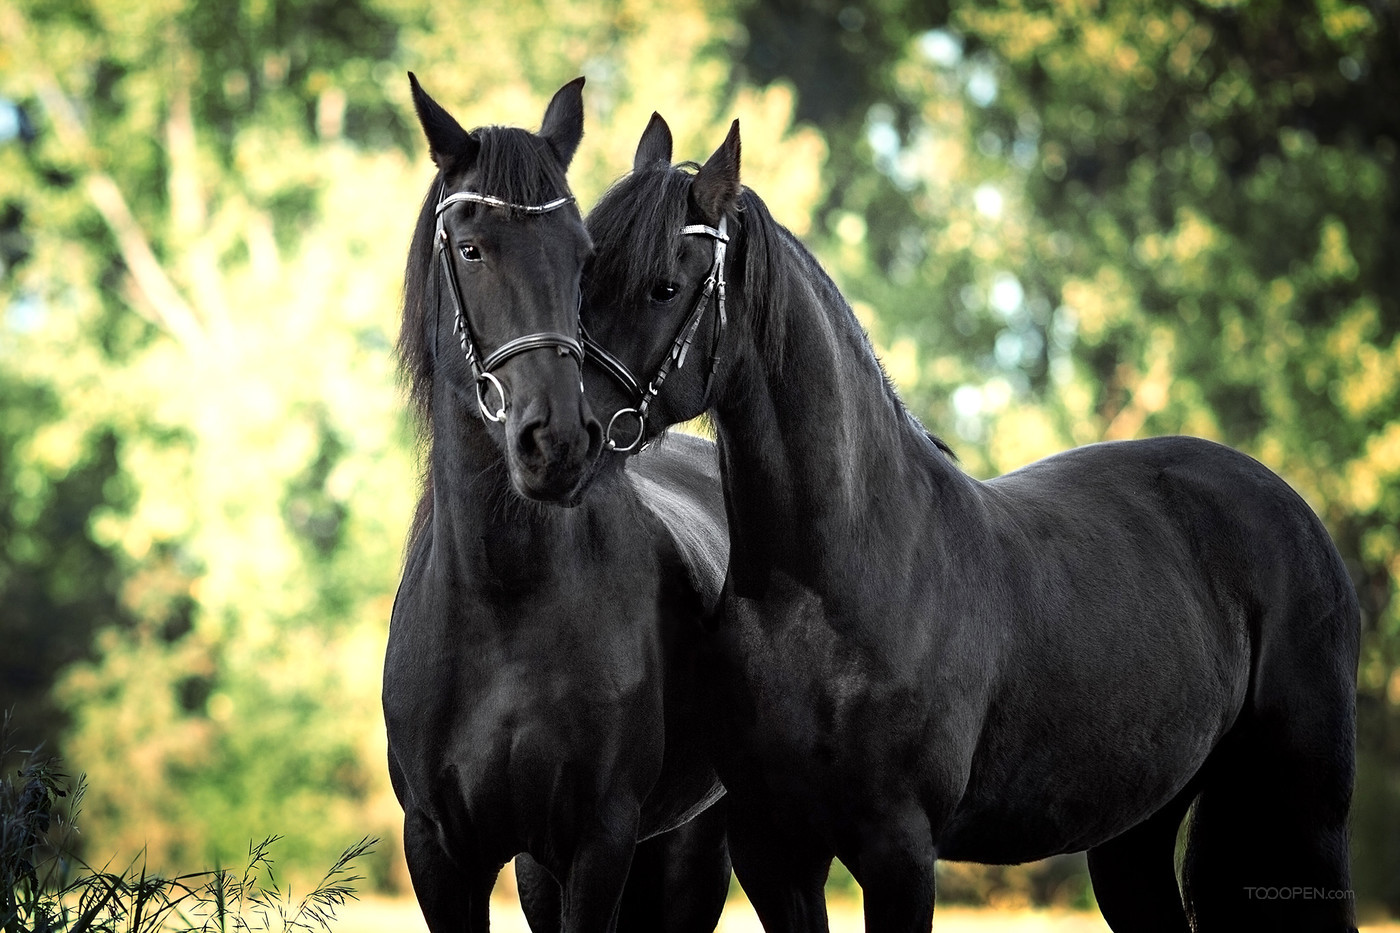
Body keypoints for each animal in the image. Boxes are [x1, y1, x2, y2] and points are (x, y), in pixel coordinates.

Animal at [383, 79, 733, 930]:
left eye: (581, 257)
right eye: (471, 249)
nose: (558, 442)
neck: (502, 599)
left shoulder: (598, 840)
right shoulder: (442, 850)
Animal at [565, 116, 1355, 930]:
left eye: (664, 285)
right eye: (582, 278)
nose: (562, 431)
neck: (830, 586)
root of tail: (1290, 507)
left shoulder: (899, 851)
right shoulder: (772, 849)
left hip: (1306, 813)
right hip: (1134, 833)